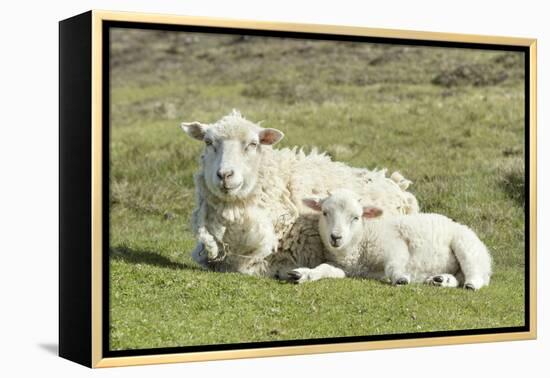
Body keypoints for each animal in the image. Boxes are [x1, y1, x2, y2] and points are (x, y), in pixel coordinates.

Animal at [298, 189, 496, 290]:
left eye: (356, 217)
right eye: (325, 213)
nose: (336, 237)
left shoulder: (395, 243)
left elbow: (393, 264)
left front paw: (400, 278)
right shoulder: (345, 268)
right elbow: (324, 268)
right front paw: (305, 274)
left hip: (466, 246)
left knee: (475, 273)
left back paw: (471, 284)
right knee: (459, 277)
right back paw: (441, 280)